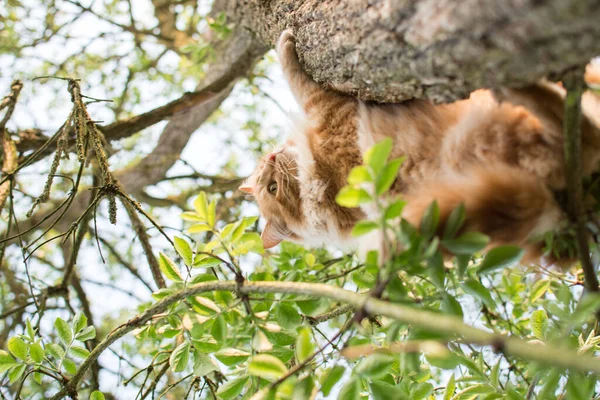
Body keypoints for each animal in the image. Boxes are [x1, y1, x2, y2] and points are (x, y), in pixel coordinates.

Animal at [239, 30, 600, 262]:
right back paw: (526, 87)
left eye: (266, 181)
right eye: (273, 188)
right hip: (473, 143)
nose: (271, 157)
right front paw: (285, 47)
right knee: (579, 130)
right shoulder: (333, 113)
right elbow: (299, 81)